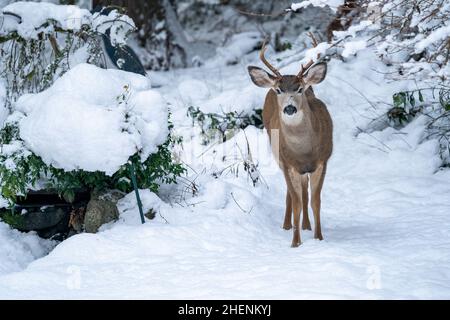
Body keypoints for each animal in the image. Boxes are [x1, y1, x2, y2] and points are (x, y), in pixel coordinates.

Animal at [248, 35, 332, 246]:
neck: (304, 152)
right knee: (292, 193)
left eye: (300, 88)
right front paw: (295, 243)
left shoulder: (322, 161)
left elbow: (315, 201)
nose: (289, 108)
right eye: (279, 90)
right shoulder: (288, 163)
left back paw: (306, 225)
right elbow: (296, 203)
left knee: (304, 191)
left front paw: (318, 237)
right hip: (279, 157)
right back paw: (287, 225)